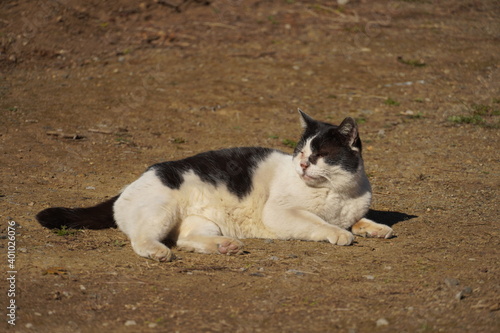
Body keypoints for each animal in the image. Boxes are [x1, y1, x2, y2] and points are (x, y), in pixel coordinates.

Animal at [37, 110, 392, 260]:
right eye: (300, 151)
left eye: (319, 155)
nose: (302, 165)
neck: (337, 192)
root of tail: (132, 183)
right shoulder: (282, 214)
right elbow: (318, 223)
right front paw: (339, 233)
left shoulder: (350, 206)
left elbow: (358, 218)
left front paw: (374, 227)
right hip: (160, 212)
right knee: (142, 239)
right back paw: (157, 252)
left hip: (202, 222)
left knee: (186, 240)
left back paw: (226, 246)